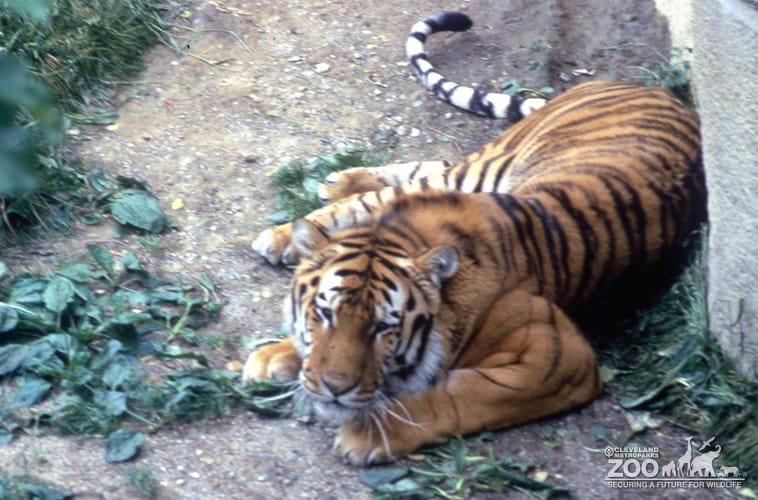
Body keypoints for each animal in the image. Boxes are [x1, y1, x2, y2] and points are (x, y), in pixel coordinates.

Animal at [243, 11, 706, 465]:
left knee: (420, 174)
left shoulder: (556, 357)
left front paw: (366, 433)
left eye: (382, 328)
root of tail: (652, 90)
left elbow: (460, 395)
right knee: (410, 178)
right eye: (325, 313)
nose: (334, 387)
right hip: (481, 169)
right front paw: (276, 355)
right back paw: (306, 215)